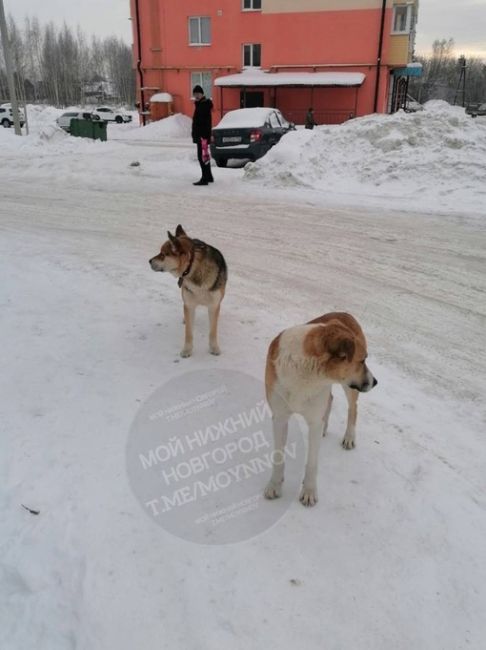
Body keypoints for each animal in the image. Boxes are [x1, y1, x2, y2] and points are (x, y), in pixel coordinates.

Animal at [264, 312, 378, 504]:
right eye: (362, 360)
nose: (375, 382)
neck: (306, 372)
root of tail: (345, 313)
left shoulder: (314, 422)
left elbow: (312, 462)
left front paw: (309, 491)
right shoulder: (279, 417)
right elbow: (278, 456)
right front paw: (274, 485)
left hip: (349, 388)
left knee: (352, 409)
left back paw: (349, 437)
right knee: (330, 399)